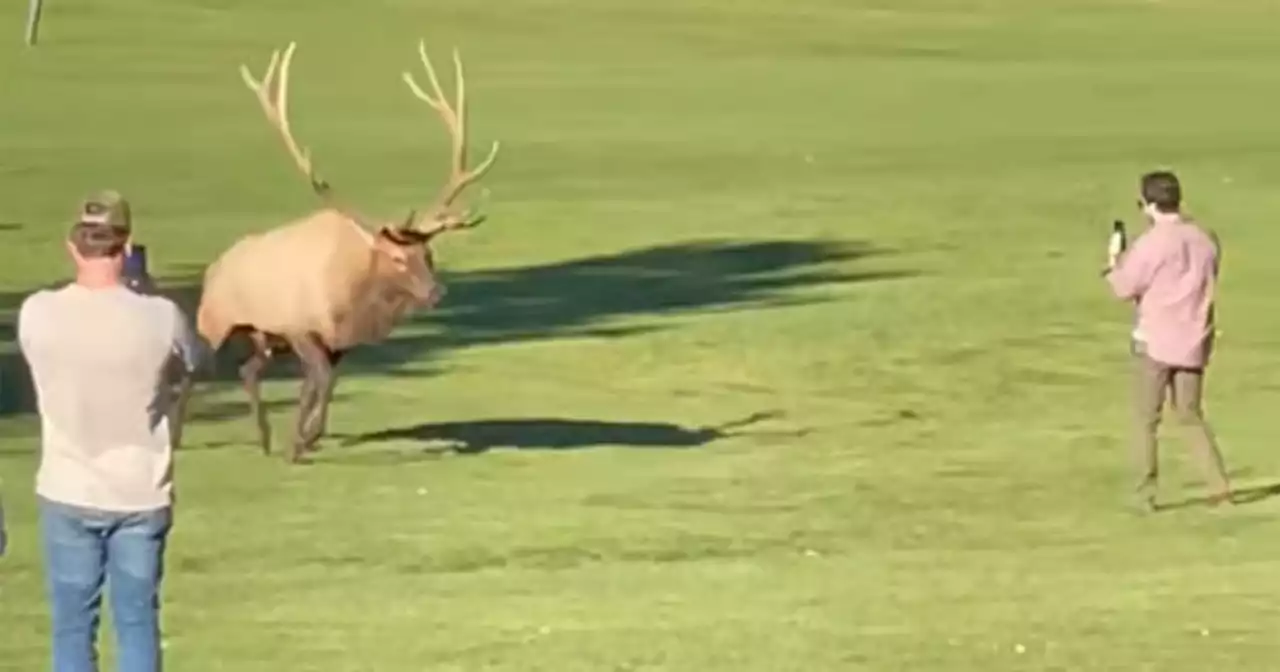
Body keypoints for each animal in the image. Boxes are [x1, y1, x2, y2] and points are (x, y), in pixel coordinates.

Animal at [172, 40, 501, 460]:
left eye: (429, 255)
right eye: (398, 258)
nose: (436, 292)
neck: (354, 302)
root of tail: (214, 267)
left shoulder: (335, 342)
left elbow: (324, 383)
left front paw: (304, 437)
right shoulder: (300, 329)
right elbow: (322, 380)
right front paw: (302, 441)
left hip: (266, 337)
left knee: (248, 369)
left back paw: (264, 438)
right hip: (215, 318)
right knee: (194, 371)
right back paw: (177, 436)